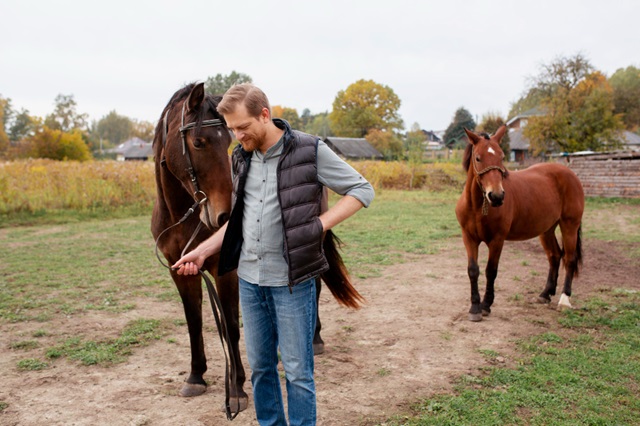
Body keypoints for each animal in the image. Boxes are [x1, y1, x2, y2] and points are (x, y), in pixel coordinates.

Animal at [456, 125, 584, 322]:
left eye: (502, 157)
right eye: (478, 158)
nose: (497, 196)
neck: (478, 207)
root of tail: (570, 174)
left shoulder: (497, 240)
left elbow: (490, 271)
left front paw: (486, 305)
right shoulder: (468, 238)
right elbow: (473, 270)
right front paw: (475, 308)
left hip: (569, 225)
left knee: (569, 259)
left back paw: (564, 300)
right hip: (546, 229)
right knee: (554, 255)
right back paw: (545, 294)